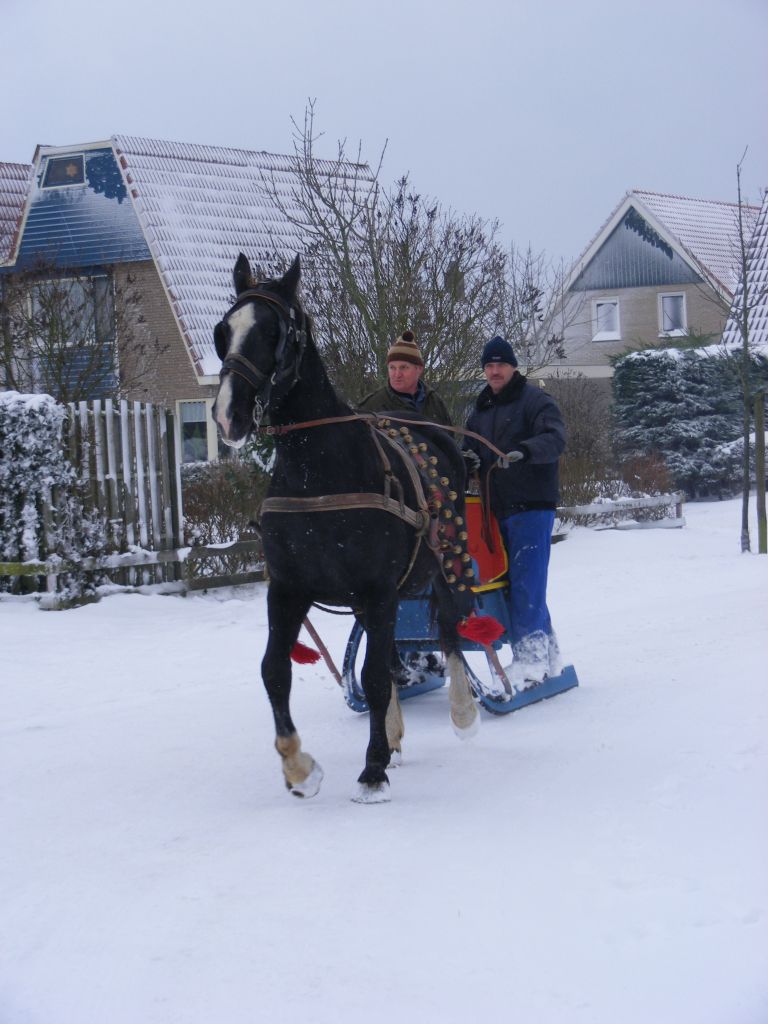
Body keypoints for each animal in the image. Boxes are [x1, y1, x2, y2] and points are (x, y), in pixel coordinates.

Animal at [211, 251, 499, 802]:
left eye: (276, 333)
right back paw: (394, 732)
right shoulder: (289, 587)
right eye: (223, 331)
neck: (318, 472)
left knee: (449, 626)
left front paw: (372, 770)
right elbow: (275, 670)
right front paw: (299, 767)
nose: (227, 414)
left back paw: (462, 712)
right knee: (387, 656)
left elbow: (378, 673)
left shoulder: (378, 586)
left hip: (440, 562)